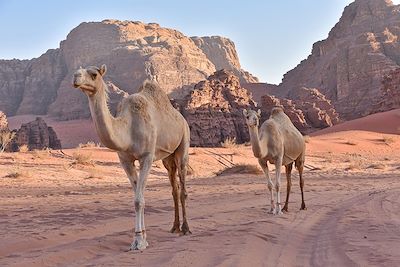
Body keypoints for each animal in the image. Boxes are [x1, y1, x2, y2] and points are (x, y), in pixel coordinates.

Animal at [74, 65, 192, 251]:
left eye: (93, 74)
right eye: (78, 70)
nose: (76, 77)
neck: (128, 128)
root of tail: (182, 119)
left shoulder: (147, 157)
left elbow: (139, 200)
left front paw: (139, 241)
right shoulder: (125, 160)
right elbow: (137, 197)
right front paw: (142, 237)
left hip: (183, 144)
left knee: (183, 186)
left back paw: (186, 229)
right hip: (167, 158)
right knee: (174, 188)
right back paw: (174, 227)